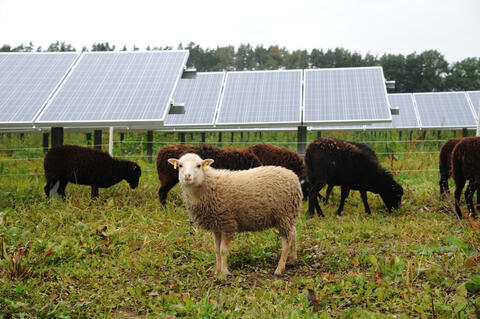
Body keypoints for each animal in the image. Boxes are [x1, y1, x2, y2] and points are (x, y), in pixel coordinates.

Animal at [168, 154, 300, 278]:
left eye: (199, 165)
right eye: (180, 165)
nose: (187, 176)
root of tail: (293, 176)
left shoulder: (227, 223)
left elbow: (223, 250)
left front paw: (224, 274)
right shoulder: (216, 225)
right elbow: (216, 249)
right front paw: (217, 271)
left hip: (284, 214)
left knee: (286, 242)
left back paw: (280, 268)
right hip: (287, 216)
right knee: (293, 233)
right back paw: (292, 260)